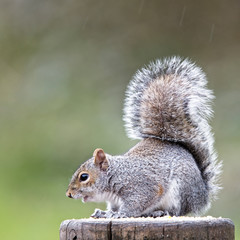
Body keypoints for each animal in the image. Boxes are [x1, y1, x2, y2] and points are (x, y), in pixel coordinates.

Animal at [65, 55, 221, 218]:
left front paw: (120, 214)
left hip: (180, 190)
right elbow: (113, 208)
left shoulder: (142, 187)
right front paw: (104, 213)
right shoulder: (114, 201)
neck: (115, 174)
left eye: (84, 177)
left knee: (177, 211)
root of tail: (202, 195)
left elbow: (135, 205)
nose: (68, 194)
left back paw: (159, 212)